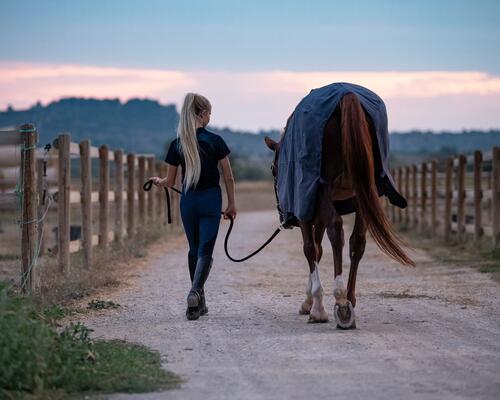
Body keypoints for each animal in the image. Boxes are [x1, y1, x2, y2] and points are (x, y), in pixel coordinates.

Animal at [266, 93, 414, 328]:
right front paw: (310, 300)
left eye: (273, 169)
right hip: (364, 193)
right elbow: (318, 249)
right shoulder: (317, 212)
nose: (285, 218)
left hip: (324, 190)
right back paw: (349, 299)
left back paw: (340, 300)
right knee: (357, 241)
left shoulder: (307, 205)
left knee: (336, 231)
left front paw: (315, 305)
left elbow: (310, 249)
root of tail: (347, 96)